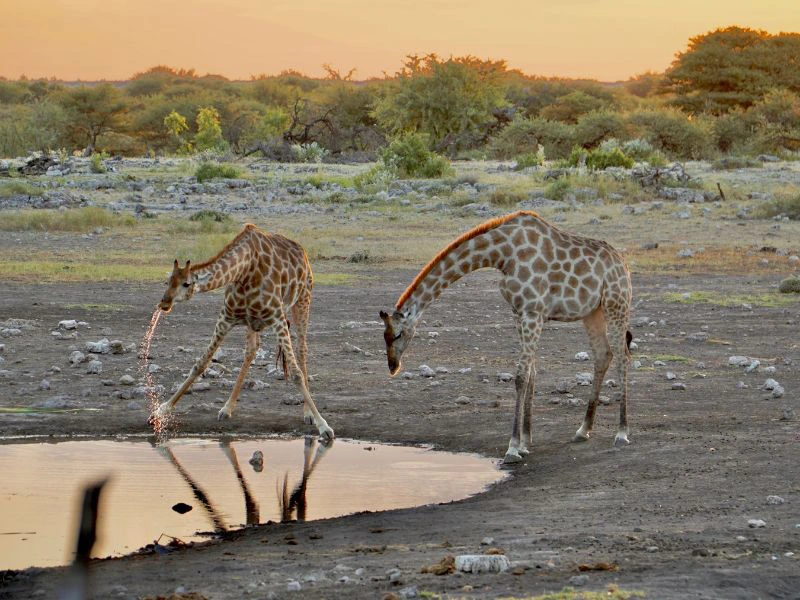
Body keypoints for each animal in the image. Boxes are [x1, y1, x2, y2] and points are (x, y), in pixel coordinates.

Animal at [152, 223, 334, 440]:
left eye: (186, 283)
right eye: (167, 281)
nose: (164, 303)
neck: (245, 271)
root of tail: (304, 253)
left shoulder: (277, 318)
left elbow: (296, 373)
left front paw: (324, 425)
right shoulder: (226, 317)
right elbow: (200, 364)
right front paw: (162, 409)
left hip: (303, 300)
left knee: (301, 349)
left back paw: (308, 414)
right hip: (253, 323)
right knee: (251, 350)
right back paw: (227, 408)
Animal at [380, 210, 632, 463]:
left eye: (399, 334)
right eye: (385, 336)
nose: (393, 366)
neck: (503, 254)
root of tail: (623, 265)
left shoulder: (533, 313)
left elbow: (520, 376)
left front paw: (512, 448)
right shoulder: (519, 314)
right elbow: (531, 374)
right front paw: (525, 442)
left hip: (616, 305)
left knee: (622, 357)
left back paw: (622, 433)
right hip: (592, 312)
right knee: (603, 355)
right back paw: (583, 430)